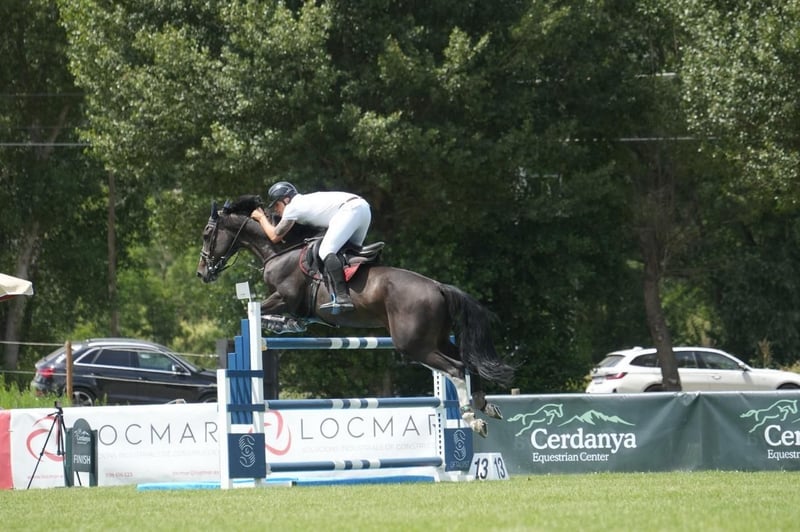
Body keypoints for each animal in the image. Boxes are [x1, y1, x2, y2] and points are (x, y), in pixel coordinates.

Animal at [196, 195, 515, 437]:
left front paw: (277, 323)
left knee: (457, 368)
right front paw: (288, 324)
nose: (202, 273)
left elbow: (258, 309)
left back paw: (472, 418)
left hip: (413, 345)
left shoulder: (285, 297)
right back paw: (485, 405)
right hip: (436, 338)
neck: (280, 250)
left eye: (207, 234)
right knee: (467, 362)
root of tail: (438, 286)